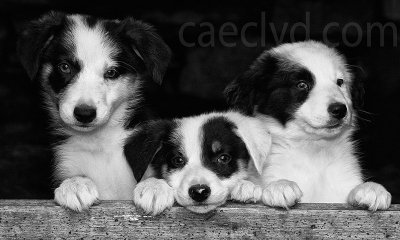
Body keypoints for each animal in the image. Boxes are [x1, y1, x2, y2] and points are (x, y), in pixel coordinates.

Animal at [17, 11, 171, 210]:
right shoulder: (65, 162)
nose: (84, 114)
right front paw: (75, 185)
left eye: (112, 72)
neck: (98, 143)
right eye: (65, 67)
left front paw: (155, 187)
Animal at [225, 39, 390, 210]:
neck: (313, 151)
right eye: (302, 85)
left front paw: (371, 188)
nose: (340, 110)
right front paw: (280, 185)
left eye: (340, 82)